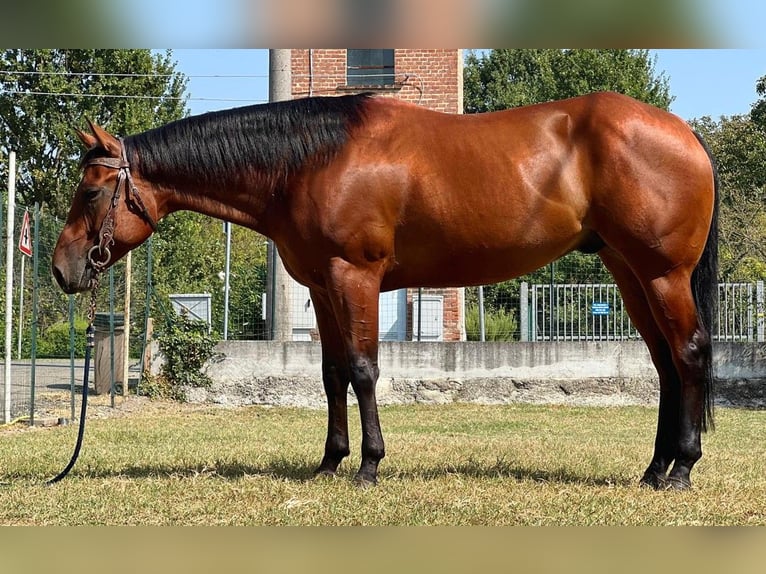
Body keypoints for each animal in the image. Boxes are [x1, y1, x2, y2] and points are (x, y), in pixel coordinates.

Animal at [54, 93, 720, 490]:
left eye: (90, 191)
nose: (63, 270)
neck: (313, 161)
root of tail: (685, 133)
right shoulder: (323, 287)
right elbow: (331, 375)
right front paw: (330, 461)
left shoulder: (356, 277)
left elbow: (364, 369)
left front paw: (370, 465)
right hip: (628, 273)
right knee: (664, 365)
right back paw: (654, 468)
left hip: (661, 275)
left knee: (689, 356)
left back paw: (683, 468)